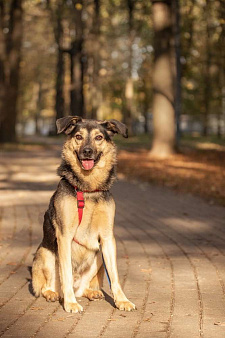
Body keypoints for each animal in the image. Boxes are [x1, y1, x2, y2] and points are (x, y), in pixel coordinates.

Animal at [31, 116, 135, 314]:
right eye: (78, 136)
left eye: (99, 137)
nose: (87, 151)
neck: (88, 189)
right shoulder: (64, 236)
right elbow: (66, 274)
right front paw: (70, 303)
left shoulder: (107, 238)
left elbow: (115, 277)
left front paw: (122, 300)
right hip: (45, 253)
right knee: (48, 285)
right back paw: (54, 294)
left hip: (98, 256)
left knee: (85, 287)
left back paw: (91, 292)